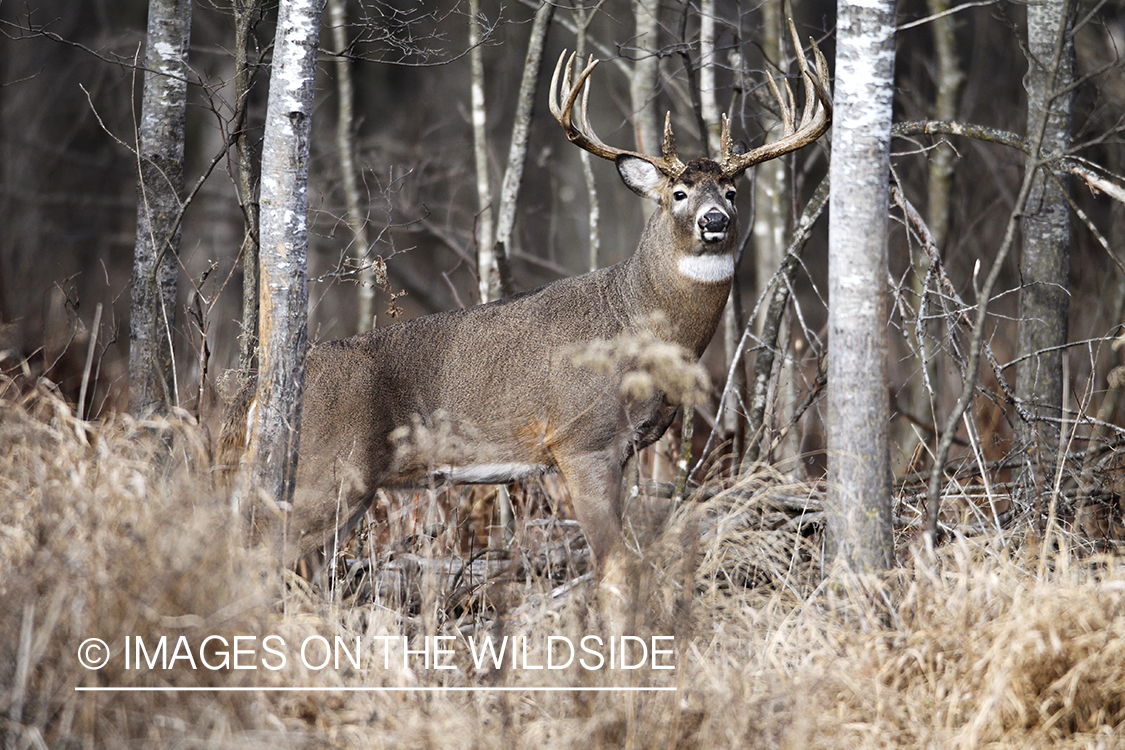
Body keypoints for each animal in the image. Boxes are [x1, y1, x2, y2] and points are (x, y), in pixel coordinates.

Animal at [221, 26, 837, 584]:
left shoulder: (627, 448)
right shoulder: (581, 439)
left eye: (733, 192)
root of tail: (255, 397)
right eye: (679, 194)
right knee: (253, 555)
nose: (715, 220)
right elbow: (615, 567)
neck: (641, 328)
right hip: (328, 471)